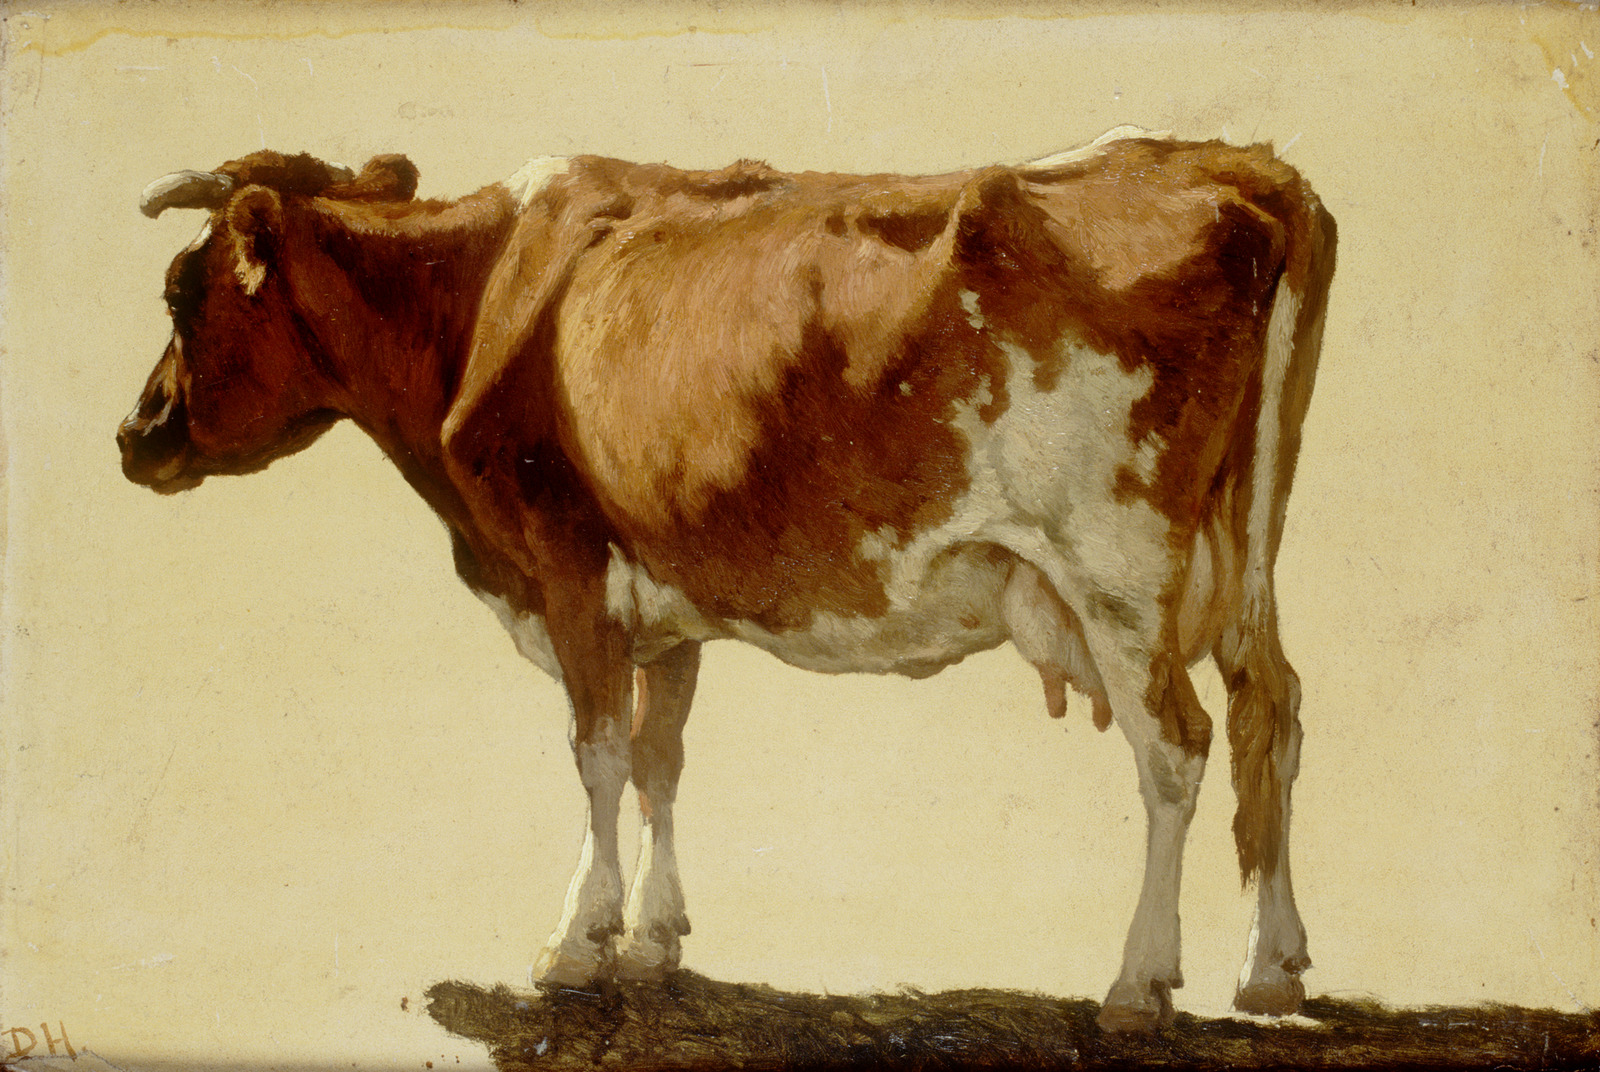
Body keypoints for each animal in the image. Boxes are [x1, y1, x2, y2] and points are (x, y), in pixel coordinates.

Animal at [120, 126, 1335, 1032]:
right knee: (1270, 711)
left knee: (1175, 747)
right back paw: (1270, 967)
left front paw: (577, 941)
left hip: (1114, 568)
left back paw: (1139, 980)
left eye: (183, 292)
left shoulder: (567, 561)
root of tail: (1240, 168)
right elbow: (660, 758)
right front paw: (656, 939)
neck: (479, 297)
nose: (135, 436)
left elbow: (598, 755)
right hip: (1246, 559)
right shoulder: (663, 598)